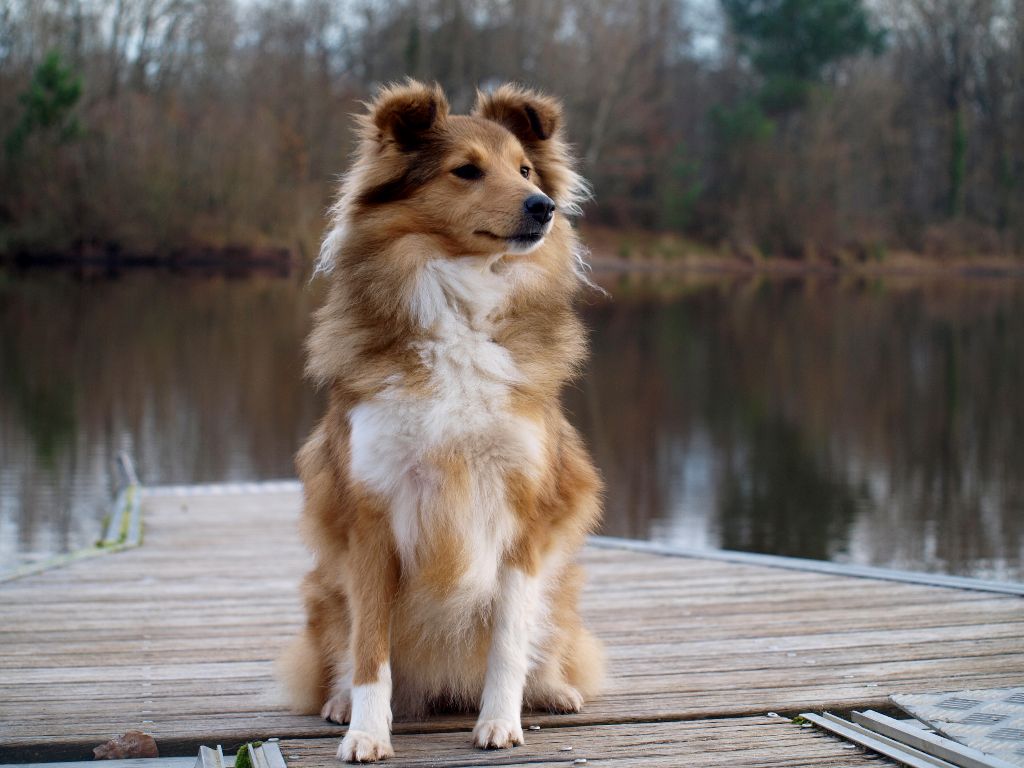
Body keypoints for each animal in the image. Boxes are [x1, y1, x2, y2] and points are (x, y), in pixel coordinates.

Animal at [276, 78, 602, 765]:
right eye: (466, 171)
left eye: (526, 169)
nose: (542, 208)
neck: (462, 307)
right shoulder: (372, 518)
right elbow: (371, 650)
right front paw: (366, 732)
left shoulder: (523, 514)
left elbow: (508, 640)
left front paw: (499, 723)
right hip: (324, 590)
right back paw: (339, 702)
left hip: (562, 586)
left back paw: (552, 690)